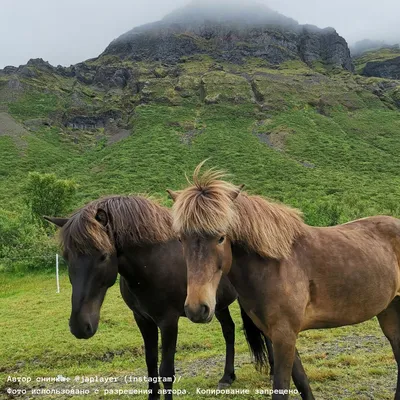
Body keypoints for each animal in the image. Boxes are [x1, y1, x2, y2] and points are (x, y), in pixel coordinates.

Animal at [44, 195, 276, 398]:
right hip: (217, 306)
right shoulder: (143, 320)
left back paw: (273, 372)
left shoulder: (168, 322)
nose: (80, 326)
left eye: (103, 256)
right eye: (66, 257)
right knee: (229, 330)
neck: (153, 262)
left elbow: (166, 371)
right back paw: (227, 377)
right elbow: (150, 365)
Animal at [169, 163, 400, 400]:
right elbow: (302, 382)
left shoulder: (285, 336)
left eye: (221, 237)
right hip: (389, 310)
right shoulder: (276, 335)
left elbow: (282, 386)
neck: (275, 265)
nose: (197, 309)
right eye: (180, 239)